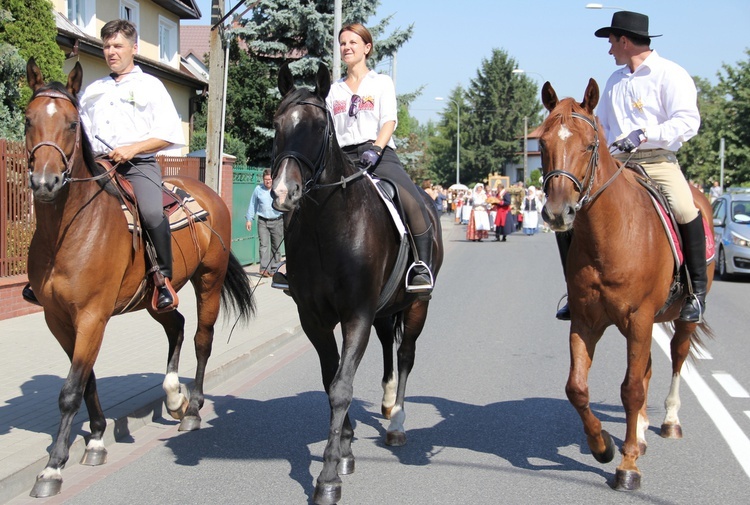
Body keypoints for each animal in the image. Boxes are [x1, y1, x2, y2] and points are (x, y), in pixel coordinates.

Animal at [24, 59, 258, 496]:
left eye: (70, 123)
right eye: (29, 120)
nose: (45, 182)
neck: (68, 230)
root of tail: (207, 193)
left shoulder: (92, 316)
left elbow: (70, 390)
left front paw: (53, 467)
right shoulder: (59, 320)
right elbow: (87, 380)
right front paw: (97, 439)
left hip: (208, 281)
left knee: (201, 339)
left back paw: (192, 407)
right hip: (155, 296)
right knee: (176, 325)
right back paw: (173, 396)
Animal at [274, 64, 444, 504]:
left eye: (318, 126)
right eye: (277, 123)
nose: (282, 192)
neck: (328, 227)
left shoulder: (356, 315)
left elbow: (341, 386)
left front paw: (328, 476)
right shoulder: (315, 319)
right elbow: (330, 379)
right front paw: (346, 447)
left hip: (417, 305)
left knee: (405, 355)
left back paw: (396, 422)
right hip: (385, 309)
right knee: (388, 345)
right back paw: (385, 402)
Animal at [540, 79, 716, 488]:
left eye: (590, 145)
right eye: (542, 142)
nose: (557, 213)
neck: (610, 235)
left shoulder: (638, 319)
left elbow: (632, 388)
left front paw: (628, 465)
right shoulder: (585, 321)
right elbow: (577, 388)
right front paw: (603, 445)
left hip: (679, 319)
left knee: (677, 357)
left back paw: (668, 422)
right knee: (648, 367)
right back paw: (640, 431)